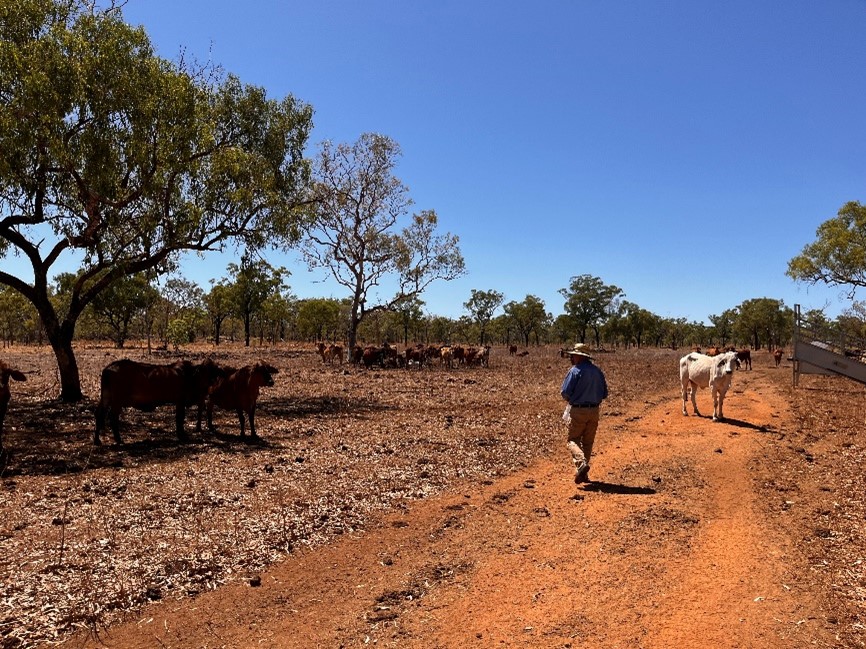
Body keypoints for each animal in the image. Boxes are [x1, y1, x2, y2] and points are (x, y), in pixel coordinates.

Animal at [93, 356, 226, 442]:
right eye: (209, 369)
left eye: (214, 369)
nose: (220, 373)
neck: (191, 377)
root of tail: (109, 367)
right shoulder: (180, 401)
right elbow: (180, 418)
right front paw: (182, 435)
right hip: (117, 401)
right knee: (112, 417)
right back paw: (118, 439)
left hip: (106, 398)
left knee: (99, 414)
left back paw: (97, 440)